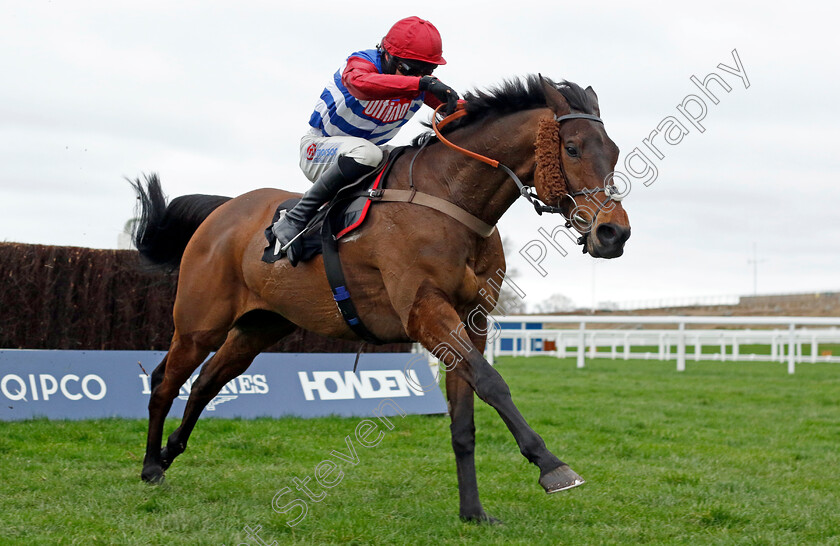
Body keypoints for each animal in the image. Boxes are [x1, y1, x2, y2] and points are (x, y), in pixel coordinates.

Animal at [130, 74, 632, 520]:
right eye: (572, 147)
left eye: (614, 151)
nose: (614, 233)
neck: (450, 199)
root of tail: (222, 211)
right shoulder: (426, 312)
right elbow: (492, 383)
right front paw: (552, 467)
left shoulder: (470, 320)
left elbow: (464, 419)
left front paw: (473, 511)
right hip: (199, 323)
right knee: (165, 379)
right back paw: (152, 465)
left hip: (259, 326)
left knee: (208, 381)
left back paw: (171, 451)